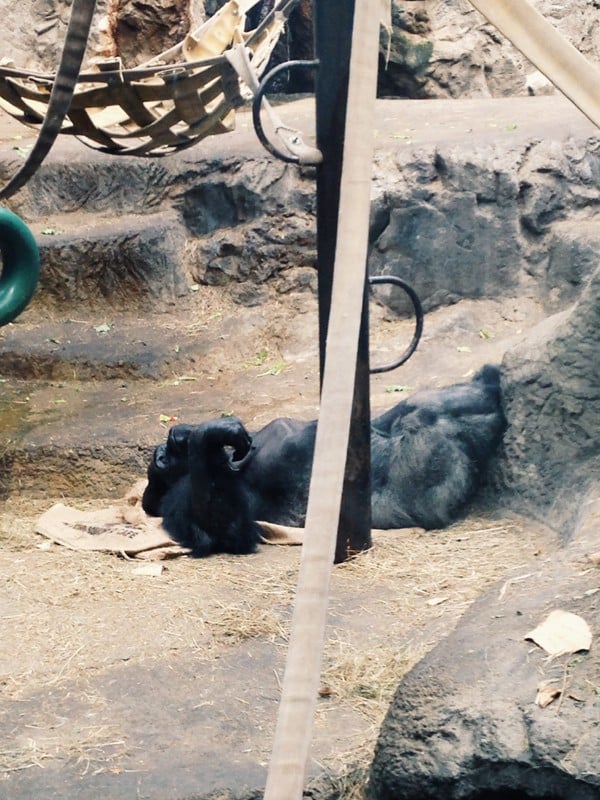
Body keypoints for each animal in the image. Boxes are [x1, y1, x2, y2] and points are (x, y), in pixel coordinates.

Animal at [142, 364, 506, 556]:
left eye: (170, 447)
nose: (174, 437)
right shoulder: (181, 499)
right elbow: (220, 529)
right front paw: (213, 433)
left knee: (418, 407)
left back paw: (488, 380)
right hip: (428, 475)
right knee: (431, 415)